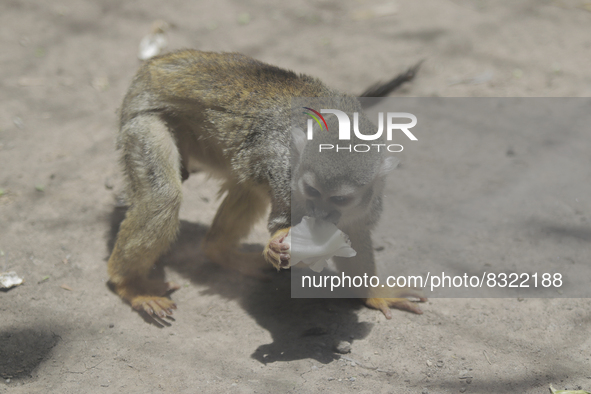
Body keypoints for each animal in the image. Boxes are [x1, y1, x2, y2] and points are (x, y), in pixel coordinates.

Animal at [107, 49, 426, 320]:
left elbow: (356, 235)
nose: (319, 215)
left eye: (338, 200)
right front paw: (278, 245)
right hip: (142, 121)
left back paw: (217, 251)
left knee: (248, 184)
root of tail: (155, 65)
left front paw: (374, 293)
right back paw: (130, 286)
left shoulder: (371, 199)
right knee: (164, 196)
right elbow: (281, 218)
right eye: (312, 192)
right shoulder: (285, 170)